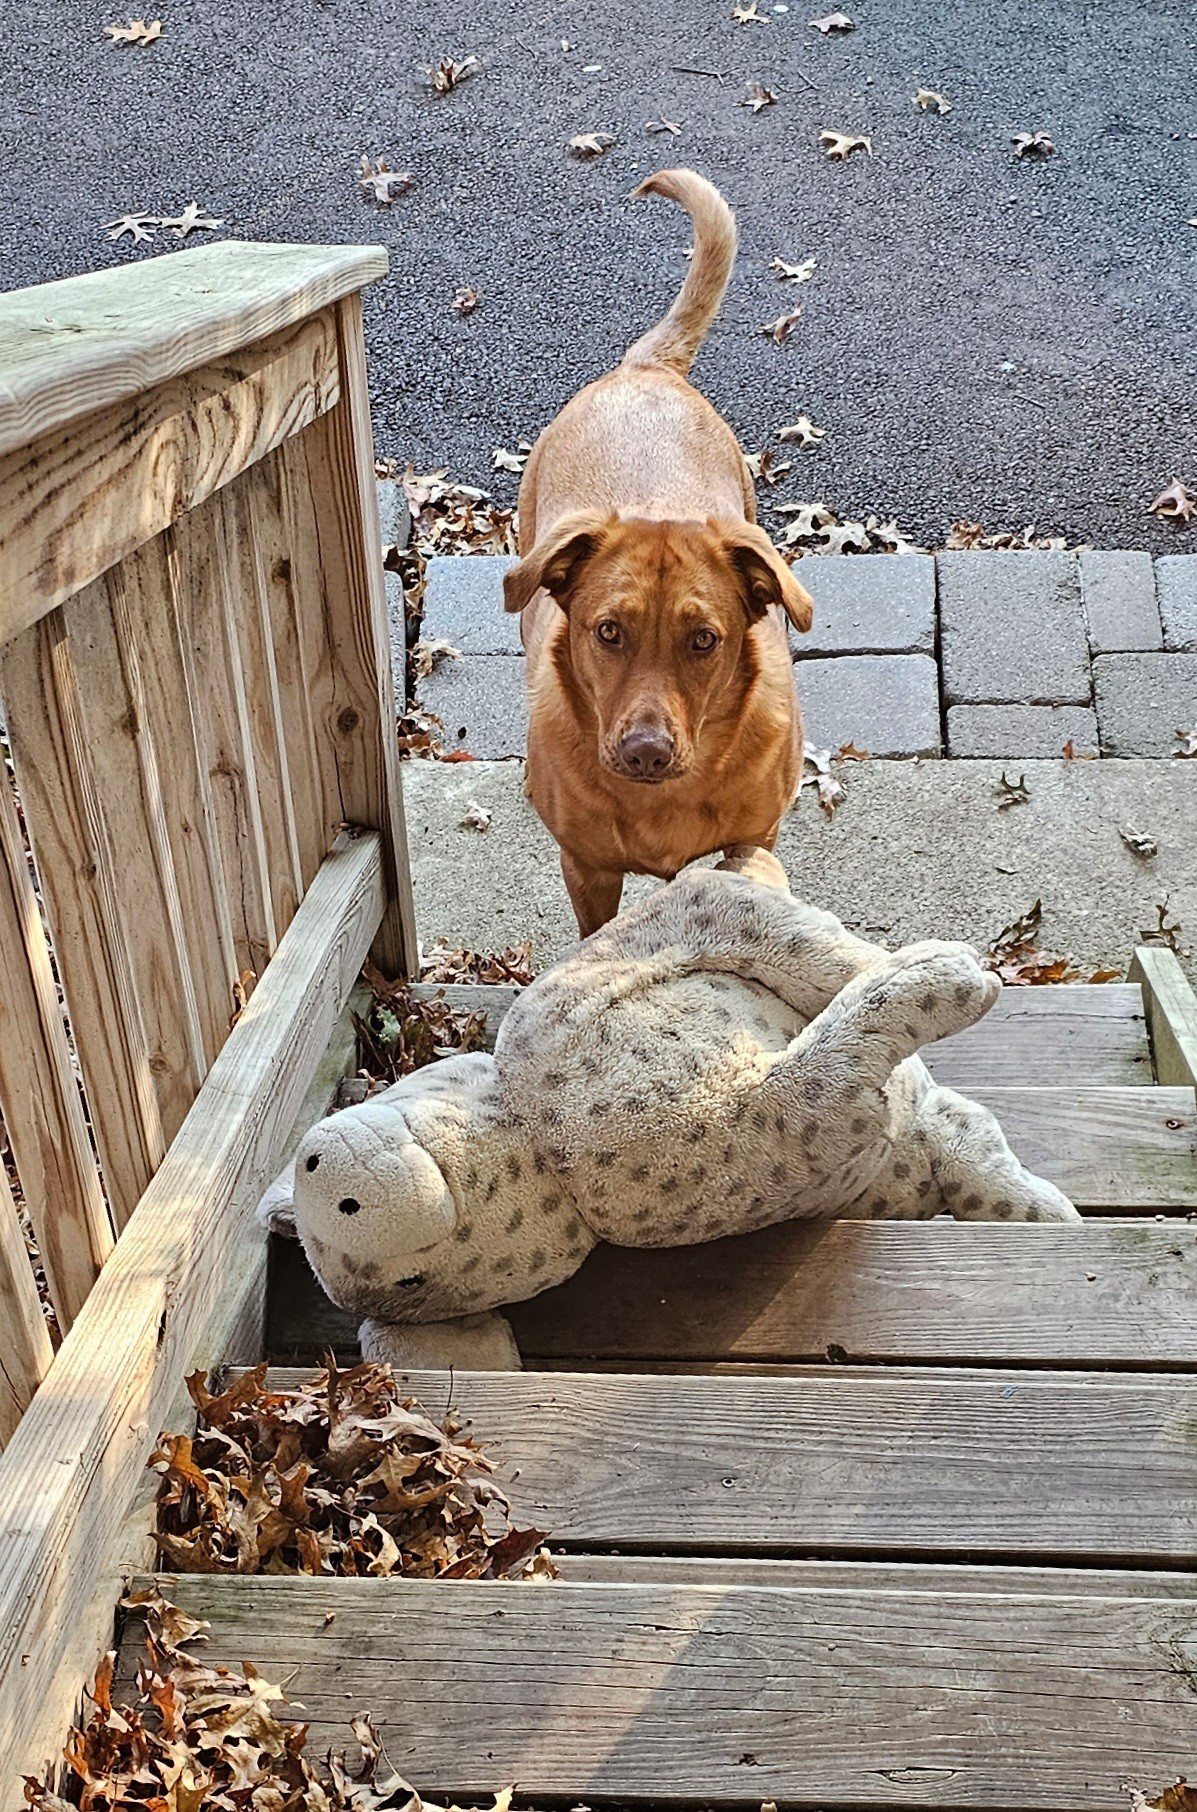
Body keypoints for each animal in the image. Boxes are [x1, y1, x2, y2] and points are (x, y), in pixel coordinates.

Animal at [499, 168, 807, 934]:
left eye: (704, 640)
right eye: (608, 631)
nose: (645, 752)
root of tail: (645, 370)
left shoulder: (755, 841)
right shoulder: (586, 867)